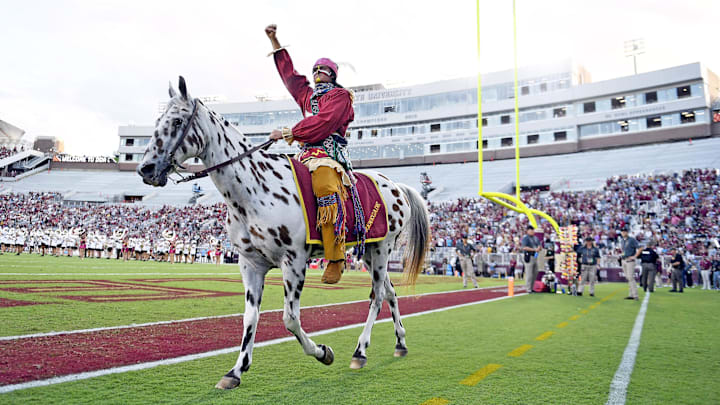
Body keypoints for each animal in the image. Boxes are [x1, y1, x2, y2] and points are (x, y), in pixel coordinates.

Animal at [138, 76, 430, 388]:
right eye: (158, 121)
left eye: (178, 121)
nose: (146, 169)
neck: (255, 189)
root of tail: (398, 185)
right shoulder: (250, 264)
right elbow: (250, 317)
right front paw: (236, 370)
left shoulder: (294, 261)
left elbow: (290, 318)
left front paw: (323, 352)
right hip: (369, 251)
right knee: (390, 292)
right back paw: (400, 343)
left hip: (383, 249)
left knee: (376, 296)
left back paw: (360, 351)